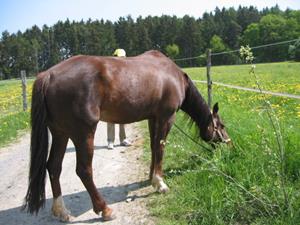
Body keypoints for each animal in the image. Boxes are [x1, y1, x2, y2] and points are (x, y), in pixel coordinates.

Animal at [22, 50, 230, 221]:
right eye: (222, 125)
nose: (229, 144)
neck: (173, 75)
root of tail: (48, 75)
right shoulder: (166, 118)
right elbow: (161, 148)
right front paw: (160, 183)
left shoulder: (153, 118)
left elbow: (154, 147)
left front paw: (150, 177)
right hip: (83, 133)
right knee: (83, 170)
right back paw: (104, 209)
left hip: (60, 134)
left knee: (53, 167)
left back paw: (62, 212)